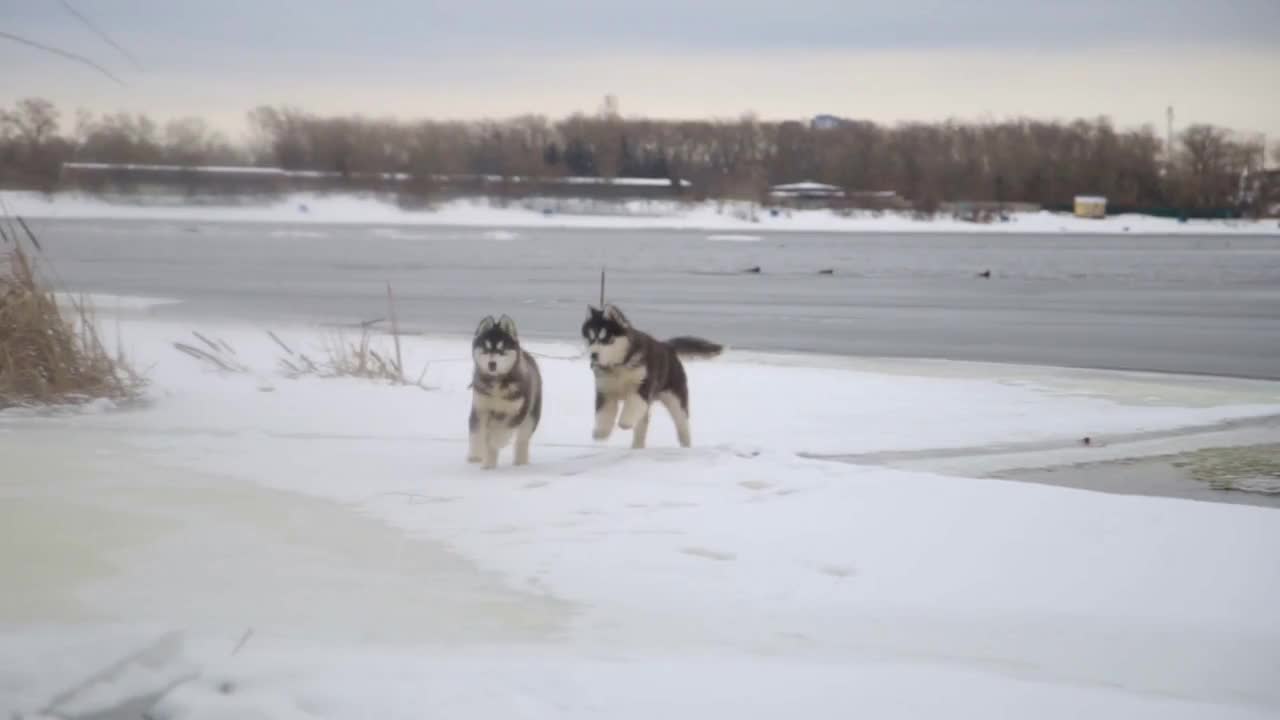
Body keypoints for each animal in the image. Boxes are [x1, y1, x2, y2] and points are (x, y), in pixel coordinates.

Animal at [468, 313, 542, 466]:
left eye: (501, 350)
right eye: (486, 348)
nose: (492, 364)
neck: (497, 382)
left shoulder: (517, 411)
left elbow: (503, 432)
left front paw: (496, 442)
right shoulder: (480, 408)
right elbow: (476, 432)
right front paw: (475, 455)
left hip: (531, 416)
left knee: (522, 440)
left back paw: (520, 461)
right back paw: (489, 464)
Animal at [581, 303, 721, 448]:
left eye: (606, 339)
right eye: (590, 339)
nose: (593, 355)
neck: (620, 365)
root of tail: (667, 346)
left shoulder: (642, 386)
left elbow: (632, 405)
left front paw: (625, 422)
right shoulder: (605, 391)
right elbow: (604, 413)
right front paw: (600, 432)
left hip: (675, 398)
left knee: (682, 421)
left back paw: (685, 444)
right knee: (642, 423)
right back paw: (637, 447)